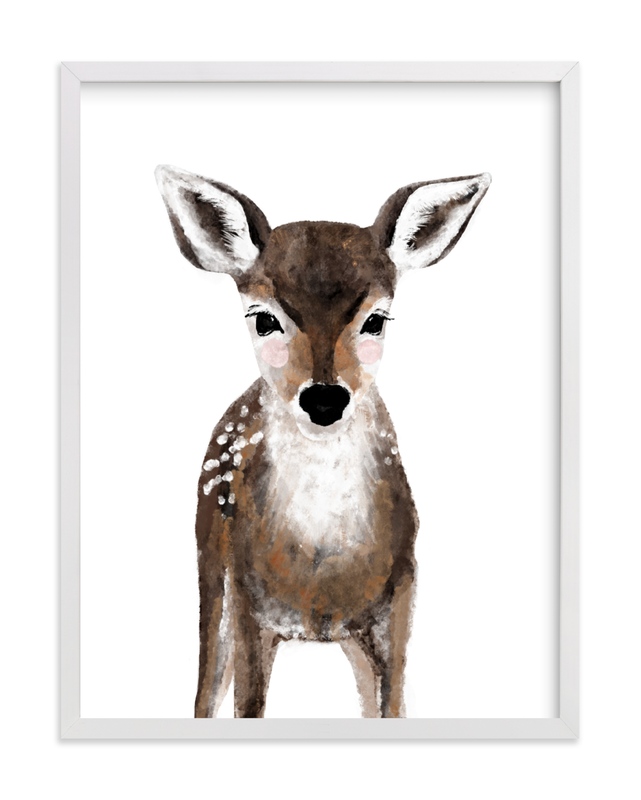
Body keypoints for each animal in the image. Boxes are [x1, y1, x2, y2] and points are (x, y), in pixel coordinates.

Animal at [155, 165, 490, 718]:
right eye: (263, 318)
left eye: (376, 319)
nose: (325, 399)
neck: (321, 567)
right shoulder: (247, 600)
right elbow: (246, 705)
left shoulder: (401, 594)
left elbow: (393, 706)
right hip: (210, 566)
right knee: (205, 690)